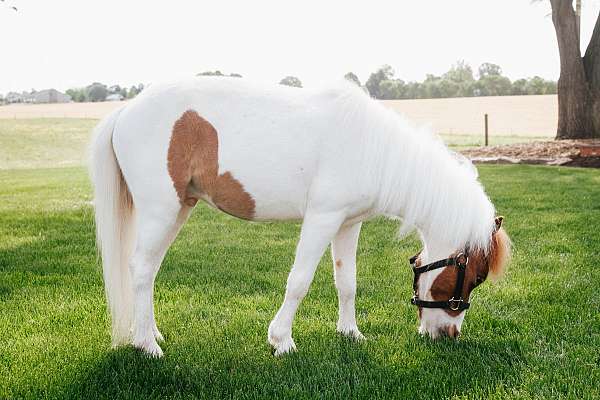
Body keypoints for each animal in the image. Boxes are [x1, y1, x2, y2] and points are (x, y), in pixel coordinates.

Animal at [90, 77, 510, 356]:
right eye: (473, 277)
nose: (448, 335)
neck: (373, 148)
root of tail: (125, 110)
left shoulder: (348, 224)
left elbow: (347, 283)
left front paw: (350, 334)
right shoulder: (322, 219)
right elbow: (299, 281)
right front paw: (282, 340)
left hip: (178, 209)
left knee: (148, 271)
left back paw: (149, 333)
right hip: (161, 211)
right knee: (142, 269)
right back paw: (147, 345)